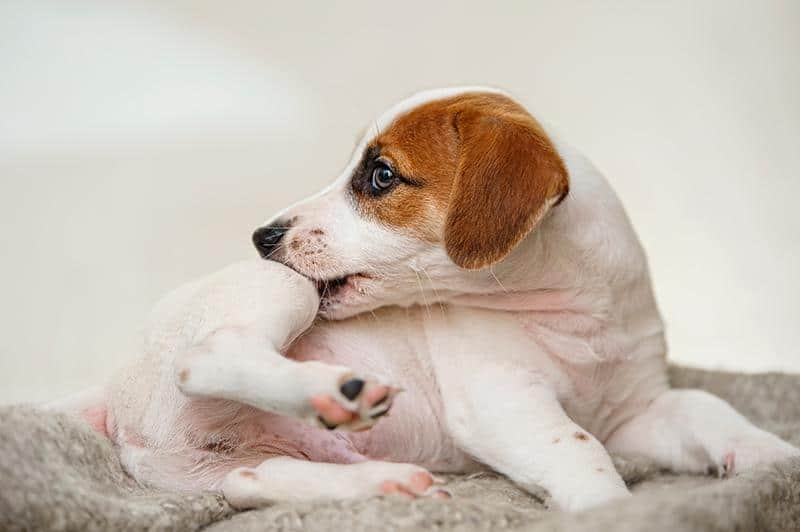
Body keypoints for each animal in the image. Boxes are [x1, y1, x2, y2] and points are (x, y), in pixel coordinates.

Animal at [54, 86, 792, 512]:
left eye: (381, 176)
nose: (262, 236)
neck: (576, 315)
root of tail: (112, 396)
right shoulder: (502, 403)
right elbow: (580, 450)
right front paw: (613, 510)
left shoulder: (635, 413)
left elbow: (708, 408)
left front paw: (773, 459)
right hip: (278, 292)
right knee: (207, 356)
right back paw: (334, 392)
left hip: (225, 464)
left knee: (251, 484)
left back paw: (383, 483)